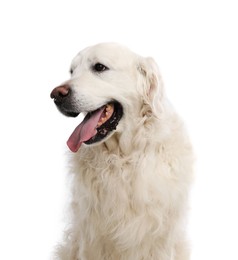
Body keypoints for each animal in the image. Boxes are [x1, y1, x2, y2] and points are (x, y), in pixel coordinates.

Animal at [50, 43, 193, 260]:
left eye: (99, 67)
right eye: (72, 71)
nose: (56, 94)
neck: (122, 157)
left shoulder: (160, 238)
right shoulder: (91, 237)